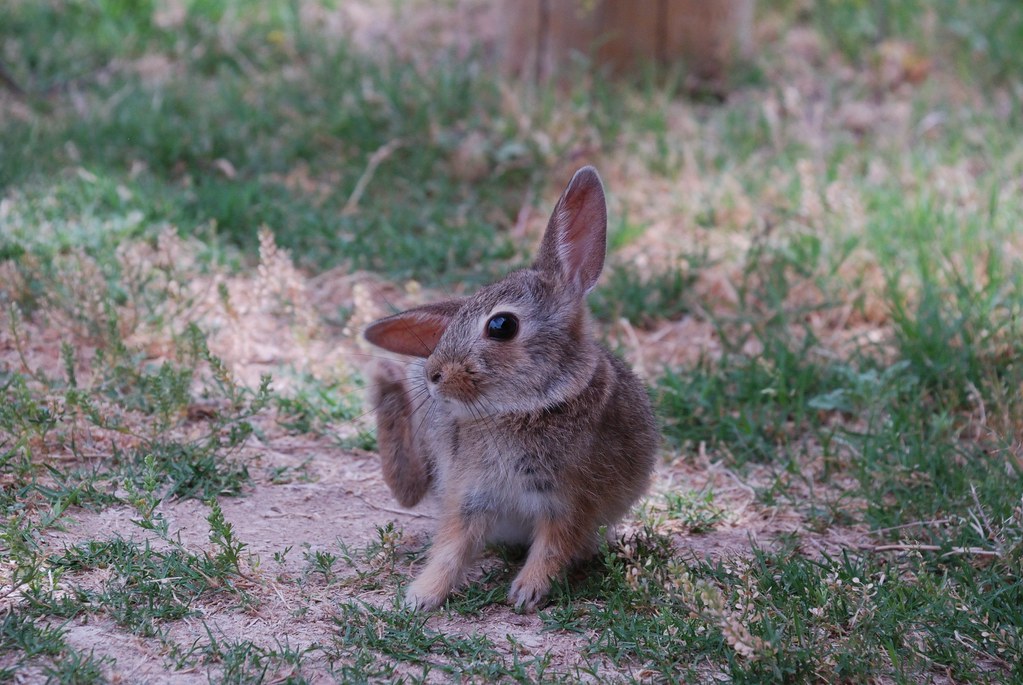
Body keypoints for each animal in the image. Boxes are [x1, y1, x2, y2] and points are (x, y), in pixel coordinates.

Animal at [364, 166, 659, 612]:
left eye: (502, 325)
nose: (433, 374)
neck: (528, 406)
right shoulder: (471, 494)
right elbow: (451, 548)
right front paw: (421, 596)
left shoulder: (569, 501)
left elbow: (554, 546)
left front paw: (526, 593)